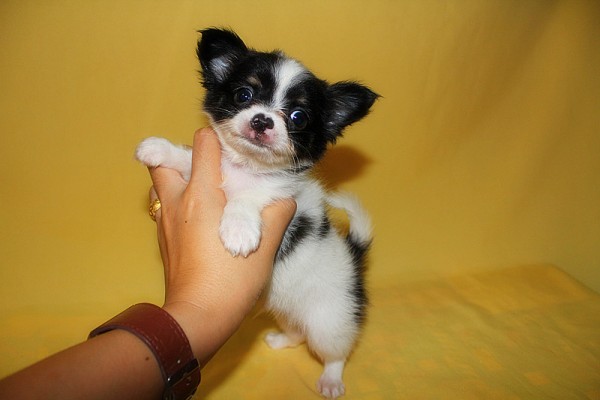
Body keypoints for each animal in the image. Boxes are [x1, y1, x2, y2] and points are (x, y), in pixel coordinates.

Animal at [136, 28, 378, 398]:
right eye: (243, 95)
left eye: (298, 117)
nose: (262, 119)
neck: (244, 167)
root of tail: (354, 258)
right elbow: (189, 160)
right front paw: (159, 148)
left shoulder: (284, 196)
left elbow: (249, 197)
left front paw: (238, 229)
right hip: (292, 311)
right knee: (297, 331)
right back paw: (281, 340)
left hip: (330, 318)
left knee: (335, 350)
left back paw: (332, 380)